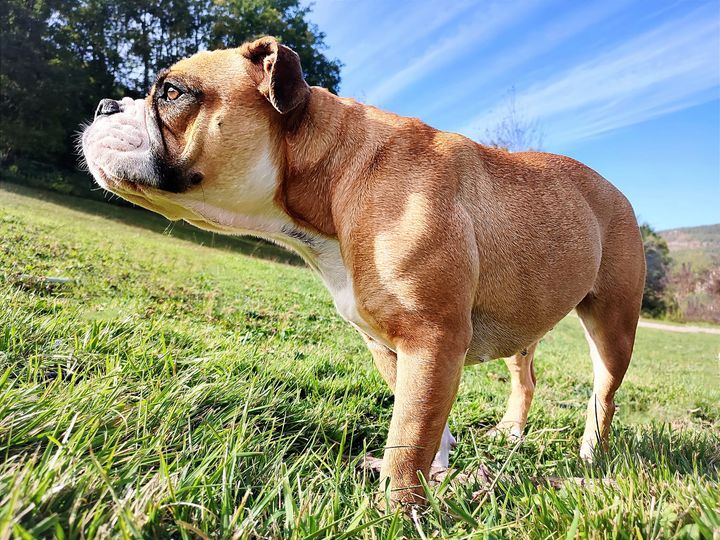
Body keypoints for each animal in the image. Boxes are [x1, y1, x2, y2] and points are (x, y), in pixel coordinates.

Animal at [80, 37, 648, 506]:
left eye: (172, 93)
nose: (104, 104)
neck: (334, 178)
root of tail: (615, 190)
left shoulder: (432, 339)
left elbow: (409, 436)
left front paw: (398, 510)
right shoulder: (393, 347)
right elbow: (422, 426)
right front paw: (433, 476)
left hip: (613, 327)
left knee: (603, 396)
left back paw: (590, 456)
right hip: (523, 320)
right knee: (525, 376)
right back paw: (510, 432)